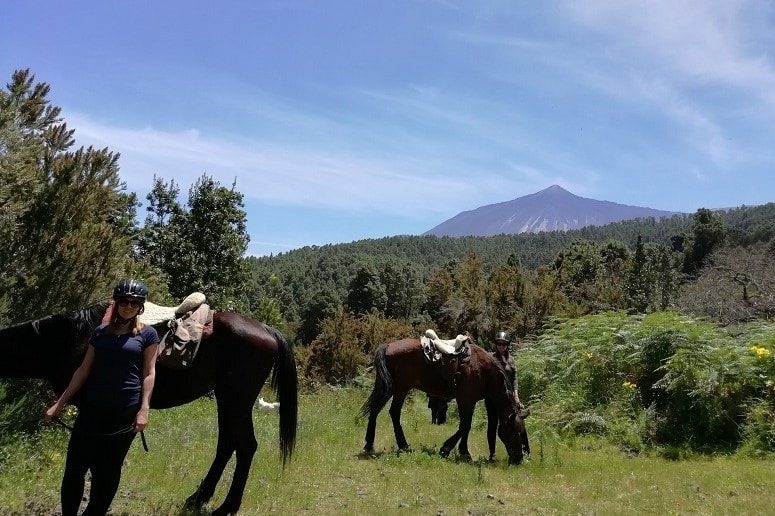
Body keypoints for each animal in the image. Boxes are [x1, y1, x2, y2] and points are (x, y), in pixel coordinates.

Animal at [0, 302, 298, 516]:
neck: (71, 339)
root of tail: (268, 330)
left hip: (236, 399)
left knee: (245, 446)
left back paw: (226, 508)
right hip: (228, 400)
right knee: (227, 444)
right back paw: (197, 499)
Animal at [360, 338, 524, 464]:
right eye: (514, 431)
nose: (519, 459)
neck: (483, 370)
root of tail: (388, 346)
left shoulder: (470, 401)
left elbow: (466, 426)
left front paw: (464, 452)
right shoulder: (464, 400)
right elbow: (465, 426)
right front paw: (446, 449)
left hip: (389, 388)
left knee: (375, 409)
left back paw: (369, 444)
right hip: (400, 389)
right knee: (393, 412)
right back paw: (403, 445)